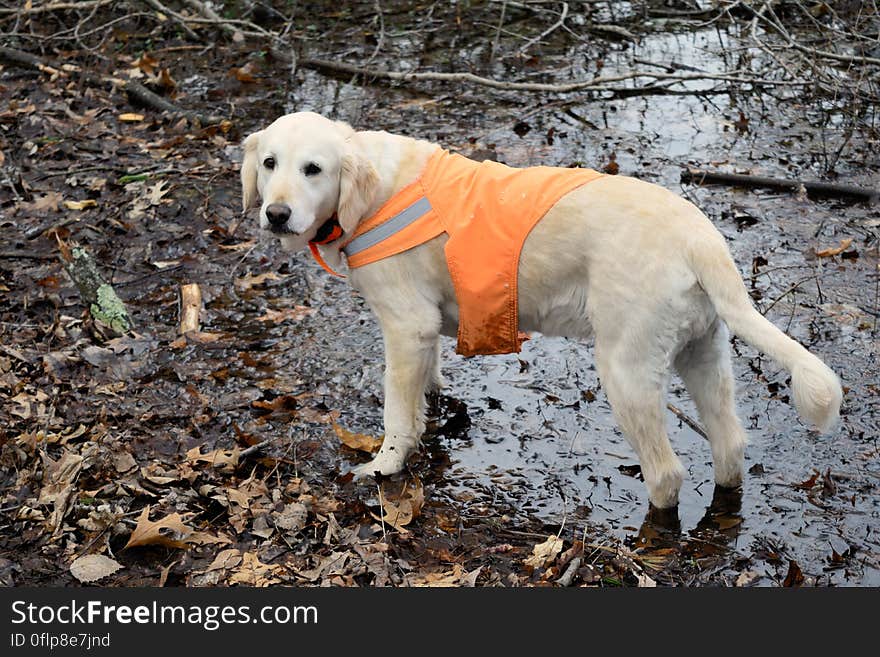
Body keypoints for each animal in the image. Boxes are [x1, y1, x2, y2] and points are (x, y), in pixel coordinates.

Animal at [237, 111, 844, 508]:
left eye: (314, 168)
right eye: (269, 163)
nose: (276, 214)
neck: (371, 191)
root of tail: (701, 237)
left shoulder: (406, 327)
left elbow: (397, 416)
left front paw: (384, 466)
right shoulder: (425, 331)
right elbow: (427, 384)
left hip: (626, 372)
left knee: (667, 475)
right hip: (705, 355)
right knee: (730, 446)